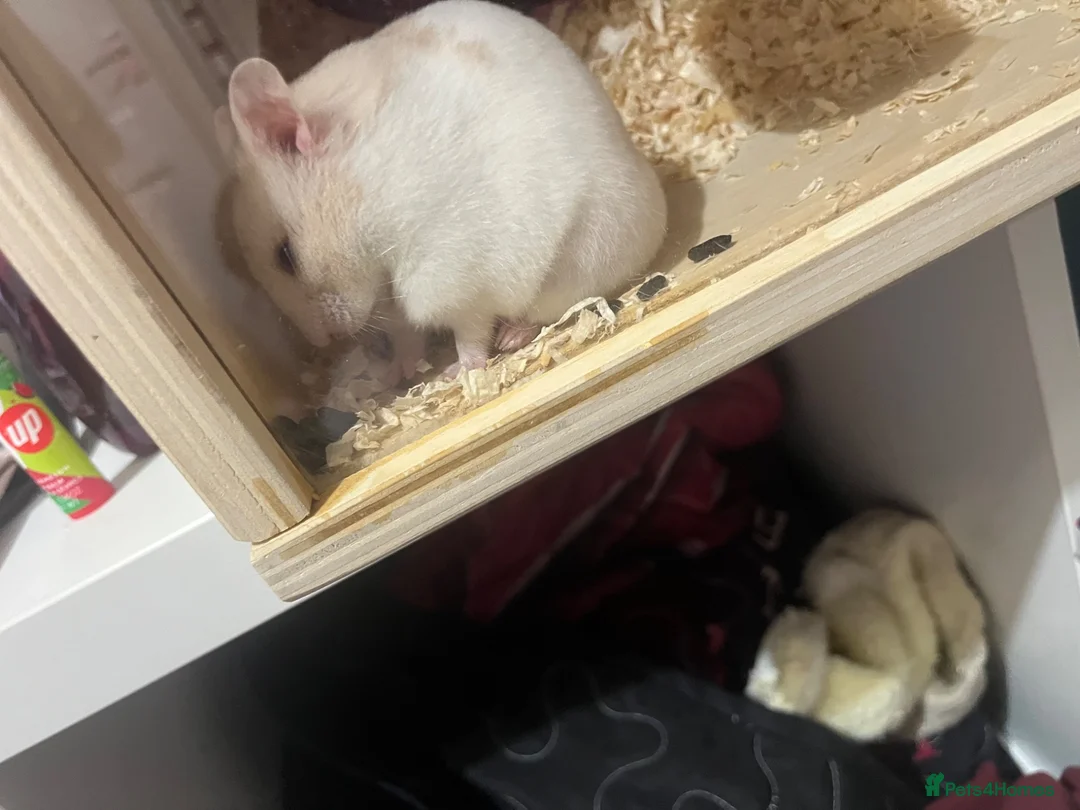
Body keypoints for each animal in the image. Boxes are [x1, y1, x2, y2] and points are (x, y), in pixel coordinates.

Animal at [219, 0, 667, 373]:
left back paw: (510, 338)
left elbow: (469, 330)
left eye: (286, 257)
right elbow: (407, 335)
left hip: (580, 258)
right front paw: (403, 373)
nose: (324, 341)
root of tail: (661, 200)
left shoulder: (457, 276)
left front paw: (460, 371)